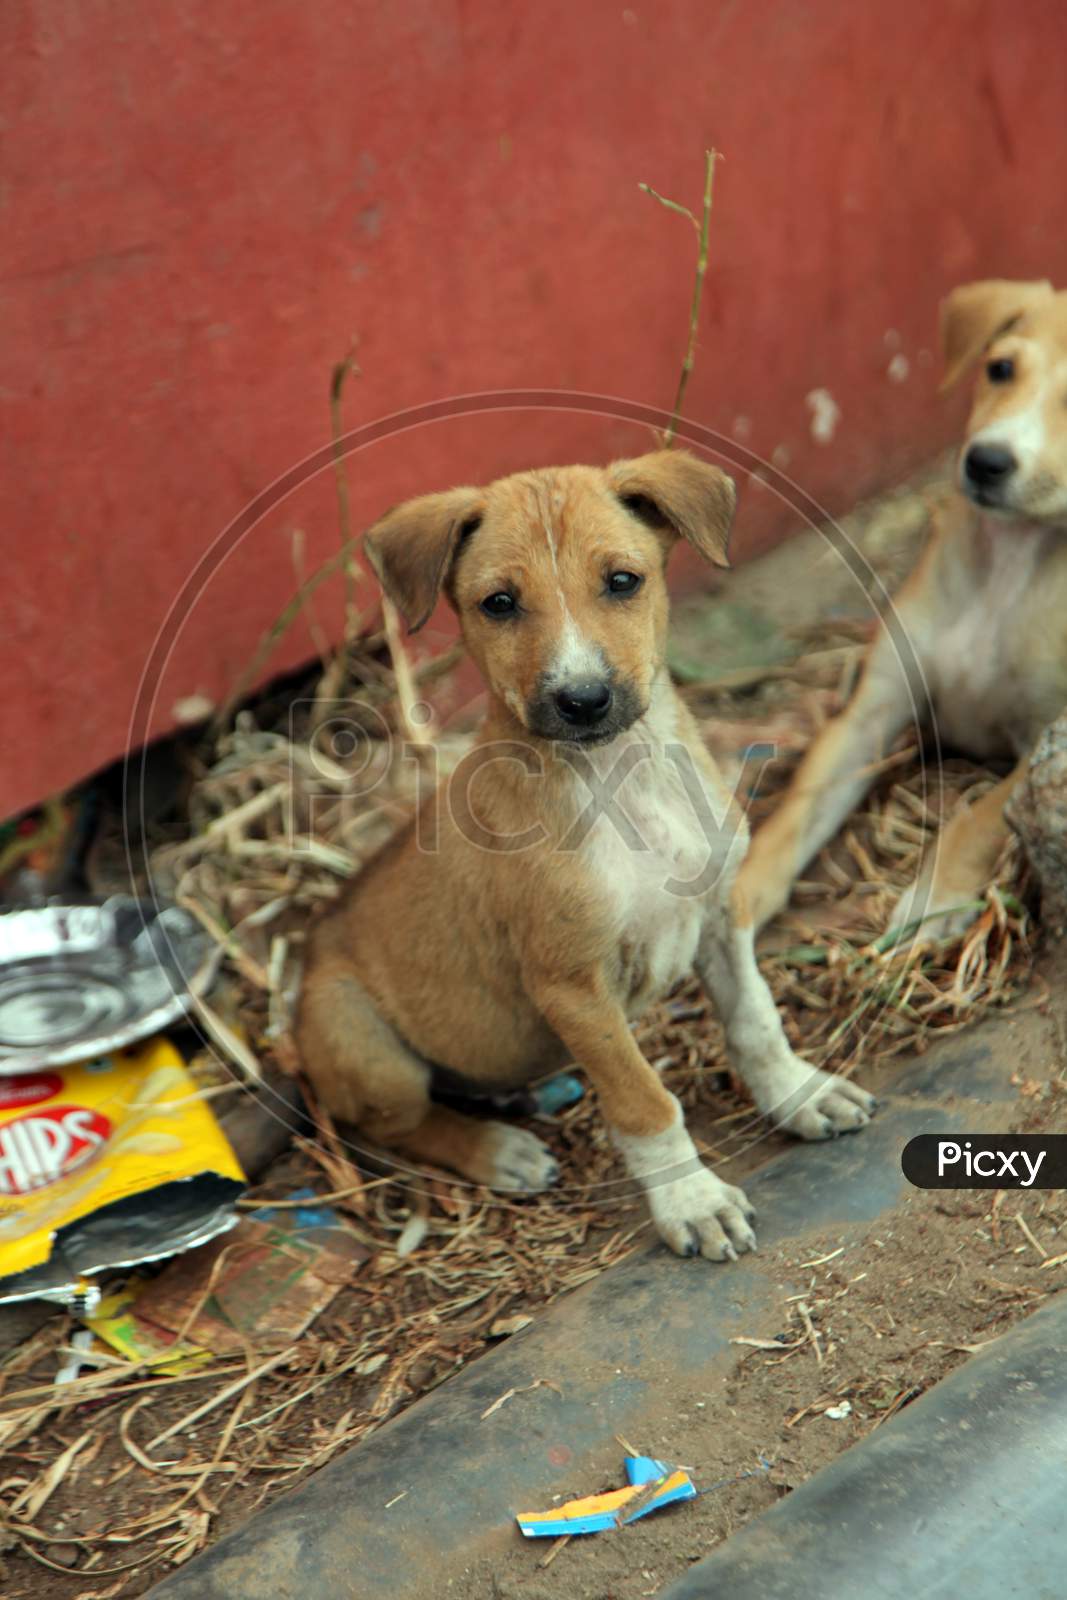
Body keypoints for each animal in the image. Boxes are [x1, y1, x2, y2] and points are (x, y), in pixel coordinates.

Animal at [294, 451, 876, 1260]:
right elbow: (643, 1100)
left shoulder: (721, 916)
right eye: (499, 603)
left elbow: (756, 1021)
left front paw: (799, 1093)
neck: (620, 777)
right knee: (396, 1128)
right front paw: (691, 1201)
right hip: (362, 1042)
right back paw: (496, 1150)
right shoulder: (574, 986)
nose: (583, 699)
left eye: (623, 581)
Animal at [742, 283, 1067, 940]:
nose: (986, 461)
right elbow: (794, 813)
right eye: (1000, 369)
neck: (1006, 570)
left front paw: (933, 899)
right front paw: (737, 895)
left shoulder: (1047, 743)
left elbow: (981, 817)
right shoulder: (873, 711)